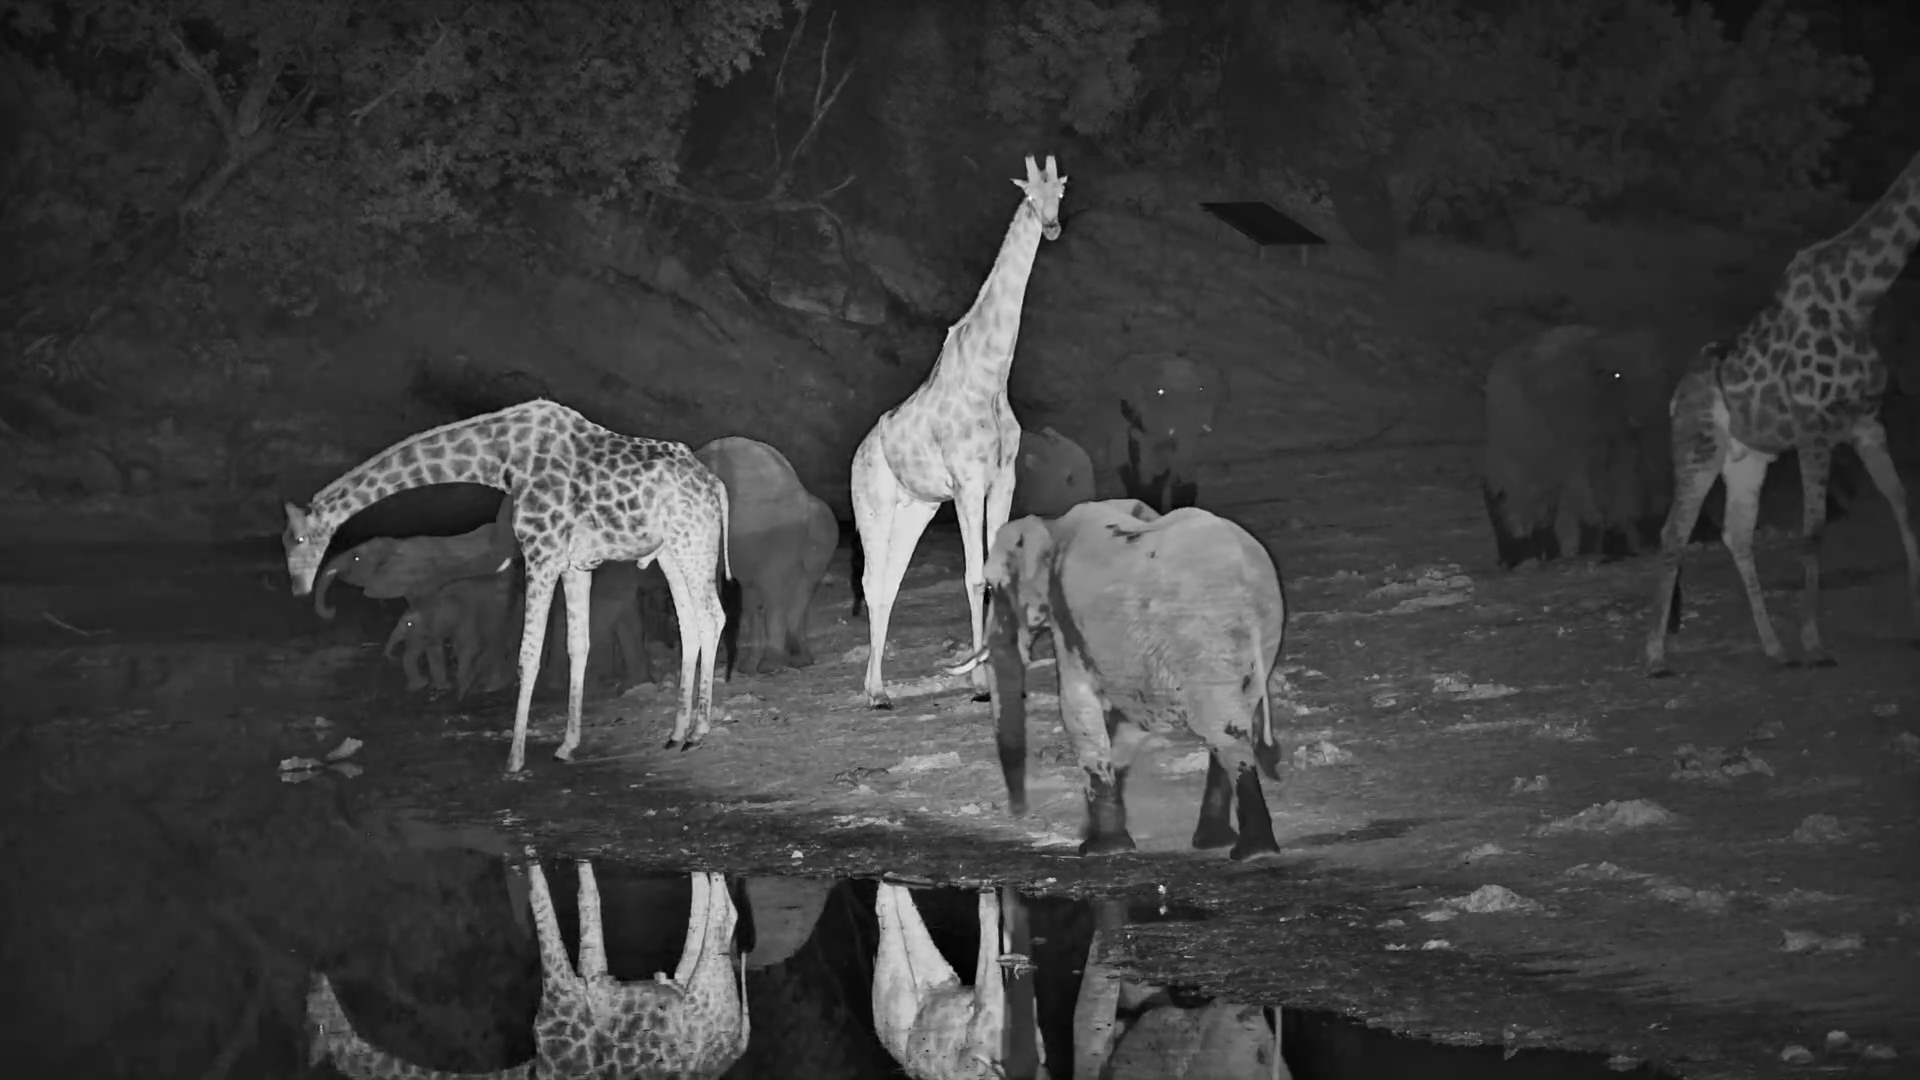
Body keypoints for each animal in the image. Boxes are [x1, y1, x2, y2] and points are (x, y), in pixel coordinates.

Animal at [693, 436, 838, 677]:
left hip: (780, 538)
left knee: (774, 592)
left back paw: (769, 665)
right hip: (817, 539)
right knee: (790, 593)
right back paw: (783, 662)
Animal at [851, 155, 1068, 708]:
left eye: (1058, 191)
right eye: (1029, 195)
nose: (1051, 225)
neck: (990, 377)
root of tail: (859, 453)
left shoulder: (1003, 478)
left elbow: (998, 573)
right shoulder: (968, 484)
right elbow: (973, 576)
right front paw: (978, 683)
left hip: (918, 509)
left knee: (889, 583)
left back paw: (878, 686)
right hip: (873, 507)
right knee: (871, 581)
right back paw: (876, 691)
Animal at [947, 499, 1288, 861]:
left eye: (993, 587)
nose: (1018, 813)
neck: (1052, 526)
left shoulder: (1069, 621)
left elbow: (1077, 708)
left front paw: (1098, 848)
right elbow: (1127, 723)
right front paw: (1096, 837)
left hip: (1202, 637)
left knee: (1222, 727)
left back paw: (1251, 851)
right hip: (1255, 635)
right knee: (1232, 721)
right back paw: (1217, 842)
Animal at [1644, 149, 1920, 675]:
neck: (1859, 296)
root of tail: (1673, 399)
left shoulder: (1866, 423)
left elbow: (1903, 506)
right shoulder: (1814, 424)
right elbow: (1812, 531)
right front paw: (1815, 643)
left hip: (1747, 460)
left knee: (1736, 532)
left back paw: (1774, 648)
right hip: (1697, 450)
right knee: (1674, 532)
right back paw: (1654, 657)